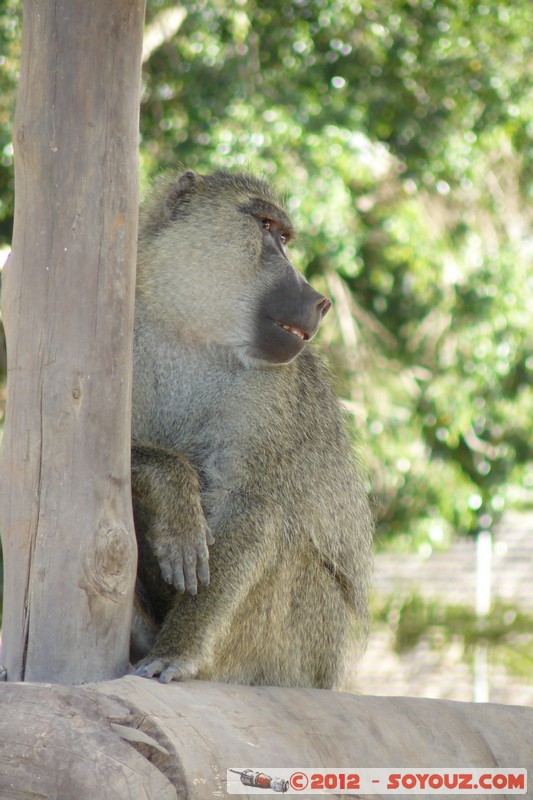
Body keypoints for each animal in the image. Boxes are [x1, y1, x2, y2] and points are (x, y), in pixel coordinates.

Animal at [130, 169, 373, 688]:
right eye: (266, 228)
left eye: (285, 237)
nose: (320, 301)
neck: (189, 334)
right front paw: (174, 492)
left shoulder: (270, 393)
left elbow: (251, 510)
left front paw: (177, 651)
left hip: (300, 645)